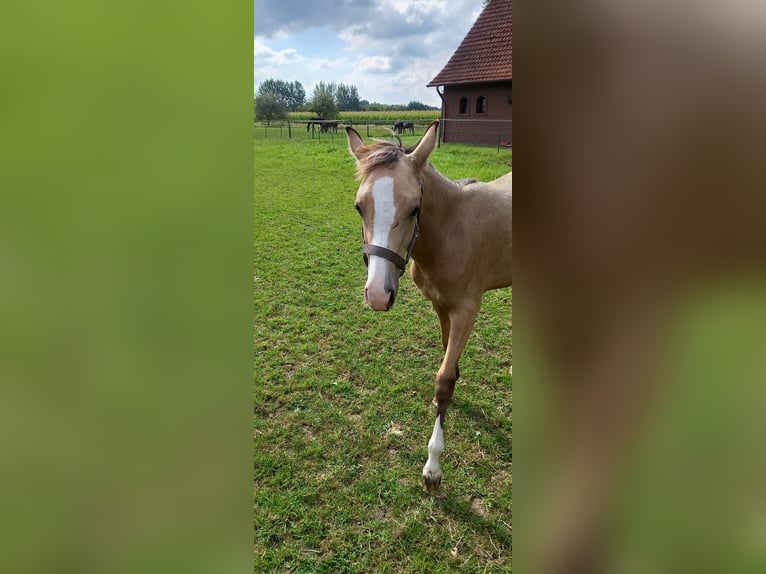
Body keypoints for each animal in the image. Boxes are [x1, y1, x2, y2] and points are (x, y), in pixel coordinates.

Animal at [344, 120, 512, 490]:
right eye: (359, 206)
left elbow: (444, 378)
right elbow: (447, 357)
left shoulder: (467, 310)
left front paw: (433, 467)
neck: (452, 231)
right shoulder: (440, 304)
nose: (378, 295)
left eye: (414, 209)